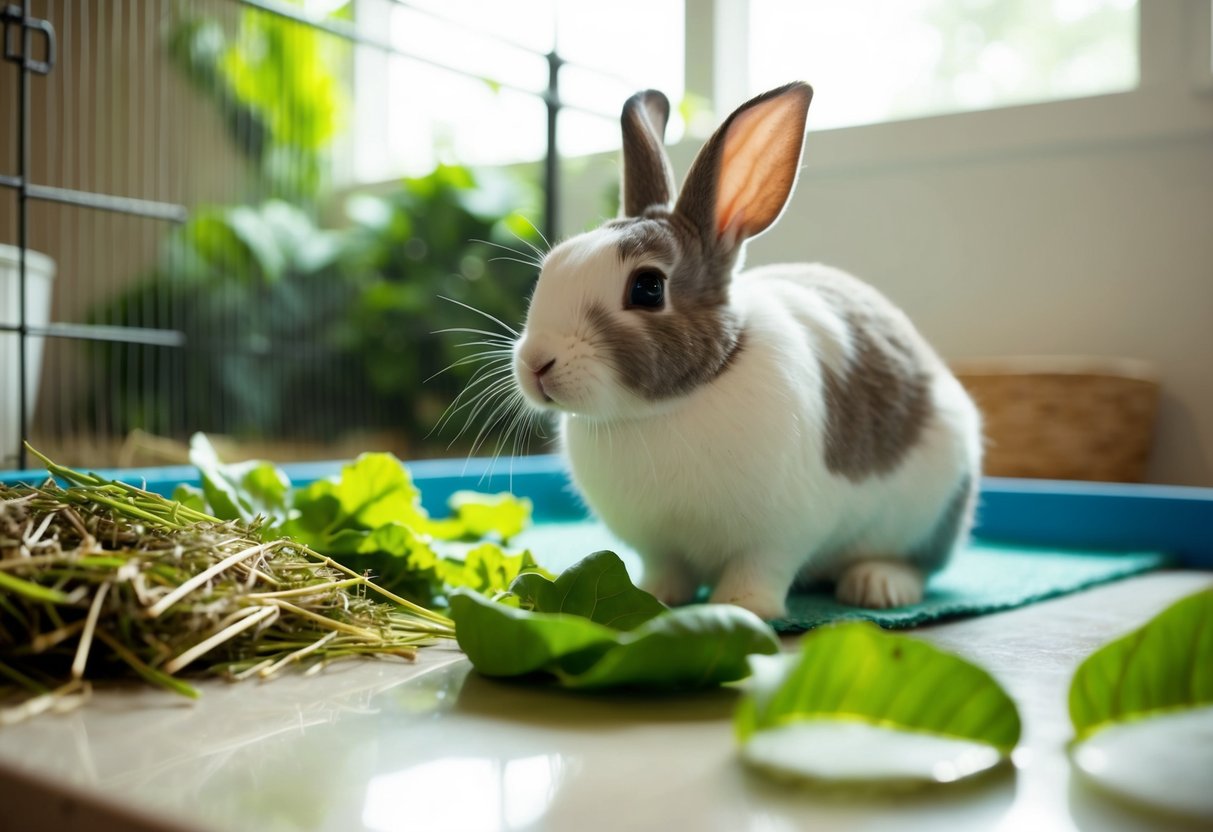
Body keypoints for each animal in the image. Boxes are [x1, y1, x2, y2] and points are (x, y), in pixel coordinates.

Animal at [511, 82, 982, 620]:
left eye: (648, 288)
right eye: (552, 265)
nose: (535, 364)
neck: (668, 407)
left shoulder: (778, 535)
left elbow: (759, 571)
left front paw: (742, 608)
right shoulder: (659, 545)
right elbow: (665, 571)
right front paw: (655, 597)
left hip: (932, 508)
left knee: (917, 564)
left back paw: (879, 585)